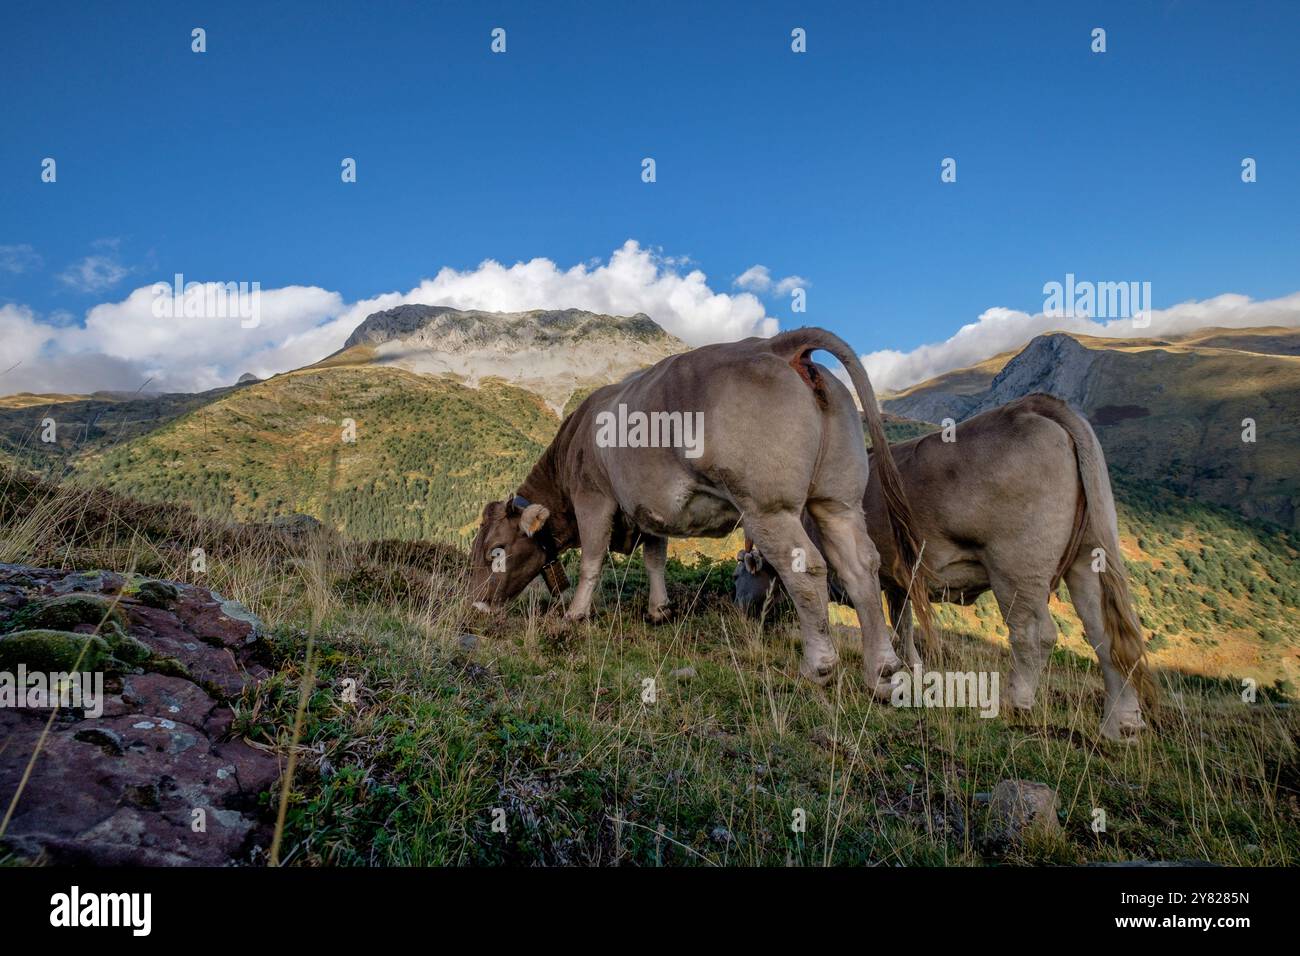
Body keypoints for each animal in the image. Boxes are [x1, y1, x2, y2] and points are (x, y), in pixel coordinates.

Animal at [473, 325, 930, 691]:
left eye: (497, 550)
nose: (475, 603)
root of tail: (781, 344)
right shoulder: (650, 509)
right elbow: (655, 558)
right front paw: (659, 610)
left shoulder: (594, 497)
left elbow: (592, 558)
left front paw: (575, 614)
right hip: (839, 500)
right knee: (861, 567)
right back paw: (882, 672)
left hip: (768, 505)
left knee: (807, 569)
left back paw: (818, 666)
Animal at [738, 395, 1154, 738]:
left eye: (740, 573)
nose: (738, 604)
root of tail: (1033, 406)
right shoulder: (898, 582)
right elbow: (903, 627)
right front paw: (913, 671)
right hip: (1089, 555)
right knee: (1106, 635)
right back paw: (1120, 725)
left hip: (1016, 564)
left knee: (1034, 633)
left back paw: (1015, 702)